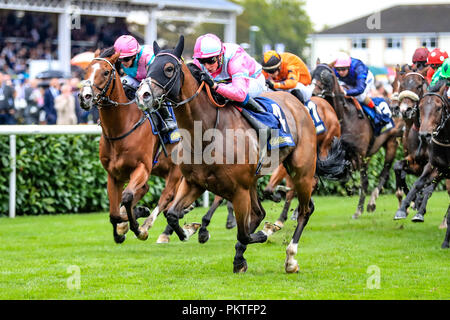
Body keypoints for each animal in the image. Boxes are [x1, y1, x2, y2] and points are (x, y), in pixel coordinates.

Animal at [78, 47, 198, 242]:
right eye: (87, 70)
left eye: (106, 72)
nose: (85, 97)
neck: (122, 128)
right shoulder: (114, 174)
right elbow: (114, 213)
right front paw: (123, 227)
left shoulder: (142, 167)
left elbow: (127, 198)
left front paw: (137, 227)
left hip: (175, 170)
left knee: (166, 198)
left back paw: (157, 227)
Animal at [136, 36, 316, 274]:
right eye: (148, 68)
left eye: (168, 68)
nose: (142, 95)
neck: (205, 132)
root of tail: (298, 103)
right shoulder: (194, 182)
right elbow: (172, 214)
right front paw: (190, 230)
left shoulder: (238, 189)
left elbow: (245, 233)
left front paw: (263, 234)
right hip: (253, 181)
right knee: (260, 213)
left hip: (301, 171)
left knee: (305, 210)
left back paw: (290, 258)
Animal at [310, 63, 404, 219]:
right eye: (312, 73)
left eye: (325, 75)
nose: (312, 92)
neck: (345, 117)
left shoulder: (360, 155)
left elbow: (364, 182)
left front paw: (358, 210)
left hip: (392, 144)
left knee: (384, 174)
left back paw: (372, 203)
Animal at [396, 84, 450, 249]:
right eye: (420, 106)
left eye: (439, 108)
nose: (425, 135)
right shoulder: (434, 166)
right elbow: (417, 183)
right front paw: (404, 208)